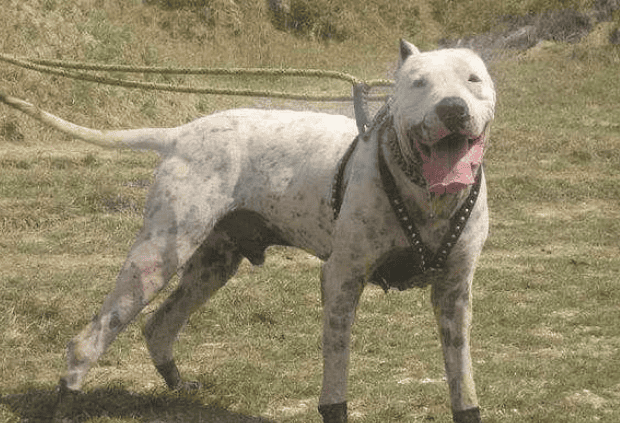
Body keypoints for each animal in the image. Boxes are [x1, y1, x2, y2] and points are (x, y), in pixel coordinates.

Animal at [0, 39, 494, 423]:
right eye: (419, 83)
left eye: (473, 80)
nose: (453, 109)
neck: (425, 194)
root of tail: (182, 133)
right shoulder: (341, 280)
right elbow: (336, 378)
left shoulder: (454, 294)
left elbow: (462, 379)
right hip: (155, 259)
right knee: (92, 336)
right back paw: (68, 395)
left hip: (212, 265)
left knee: (159, 324)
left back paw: (176, 383)